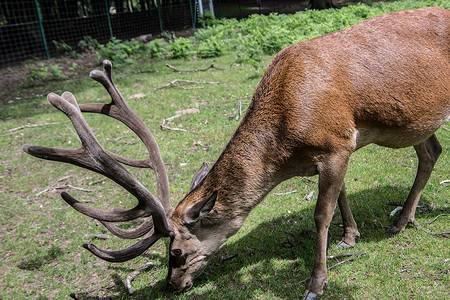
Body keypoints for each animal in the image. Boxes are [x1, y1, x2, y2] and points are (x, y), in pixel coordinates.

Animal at [24, 6, 450, 298]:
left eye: (175, 253)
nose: (171, 285)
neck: (285, 151)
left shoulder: (336, 144)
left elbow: (319, 214)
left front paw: (316, 282)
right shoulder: (336, 149)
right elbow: (341, 195)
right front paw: (350, 237)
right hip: (418, 120)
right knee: (431, 150)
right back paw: (402, 220)